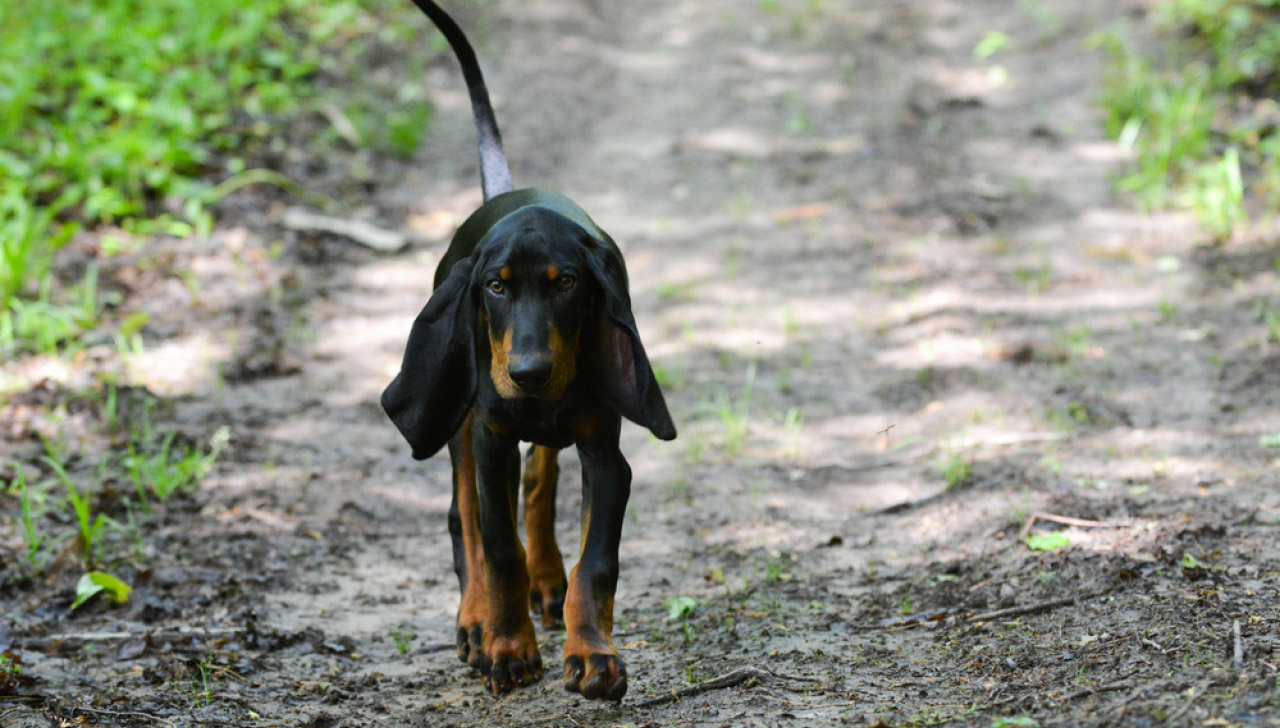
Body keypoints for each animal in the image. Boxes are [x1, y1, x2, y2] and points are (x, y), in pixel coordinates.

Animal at [378, 0, 675, 701]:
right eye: (495, 286)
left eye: (566, 283)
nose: (529, 372)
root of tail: (501, 193)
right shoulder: (490, 438)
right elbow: (497, 545)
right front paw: (507, 647)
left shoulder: (605, 453)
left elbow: (596, 562)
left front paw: (593, 654)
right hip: (461, 420)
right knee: (466, 519)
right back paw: (474, 623)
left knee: (540, 484)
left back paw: (547, 582)